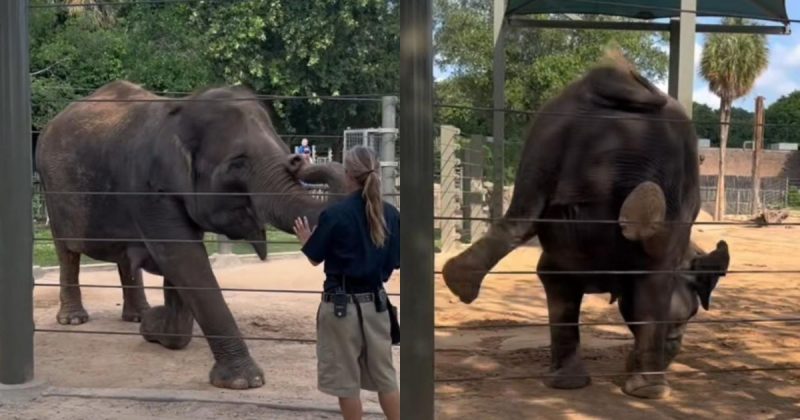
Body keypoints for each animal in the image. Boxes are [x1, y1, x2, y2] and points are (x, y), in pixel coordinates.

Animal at [35, 80, 348, 389]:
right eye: (238, 163)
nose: (299, 160)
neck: (180, 111)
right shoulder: (149, 189)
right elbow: (183, 258)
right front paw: (245, 381)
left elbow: (179, 265)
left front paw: (152, 324)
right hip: (52, 191)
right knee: (67, 252)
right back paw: (74, 320)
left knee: (124, 258)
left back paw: (137, 315)